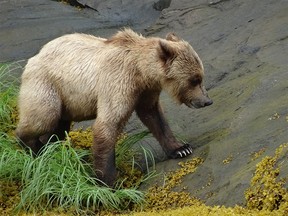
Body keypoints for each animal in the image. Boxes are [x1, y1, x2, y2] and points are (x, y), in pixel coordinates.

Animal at [16, 28, 214, 186]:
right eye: (194, 80)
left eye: (201, 77)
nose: (206, 101)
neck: (141, 72)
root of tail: (34, 57)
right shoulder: (118, 81)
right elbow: (108, 123)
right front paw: (109, 182)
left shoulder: (146, 91)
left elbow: (155, 117)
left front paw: (181, 148)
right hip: (48, 85)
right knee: (44, 117)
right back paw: (31, 146)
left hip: (67, 101)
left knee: (58, 127)